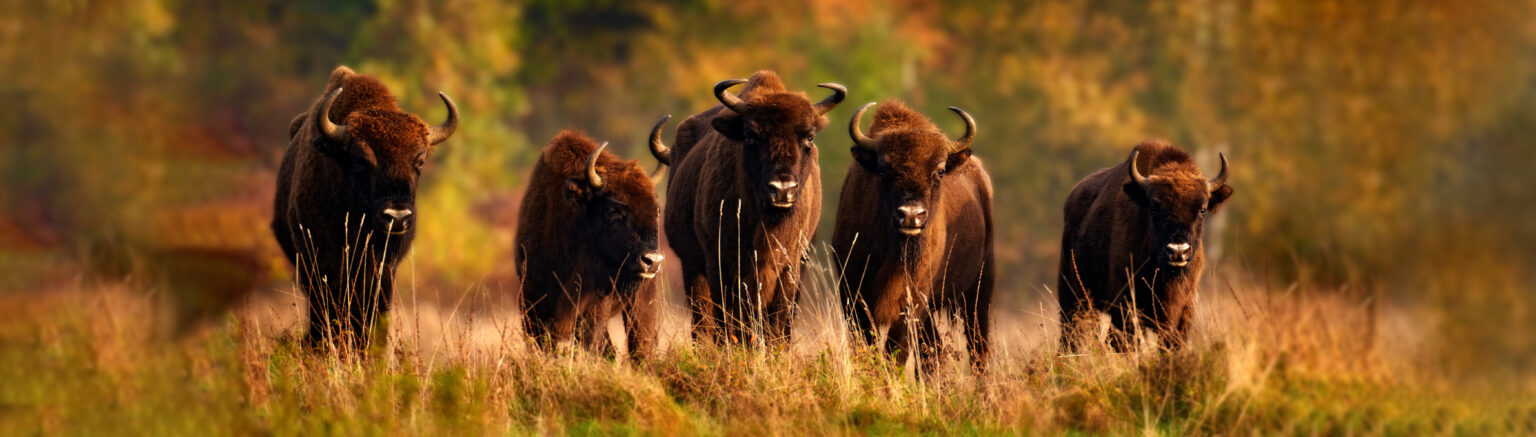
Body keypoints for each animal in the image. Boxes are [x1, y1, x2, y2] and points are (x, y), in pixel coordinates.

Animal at [649, 71, 846, 345]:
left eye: (809, 137)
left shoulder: (790, 267)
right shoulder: (719, 263)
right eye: (751, 136)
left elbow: (777, 322)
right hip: (692, 266)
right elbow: (726, 319)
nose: (782, 189)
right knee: (703, 320)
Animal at [832, 101, 995, 373]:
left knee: (977, 348)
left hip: (979, 290)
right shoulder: (852, 294)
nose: (911, 215)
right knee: (934, 350)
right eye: (883, 169)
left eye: (940, 171)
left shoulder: (912, 301)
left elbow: (895, 351)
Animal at [1057, 140, 1232, 352]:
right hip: (1073, 296)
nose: (1178, 251)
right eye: (1155, 207)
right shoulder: (1126, 304)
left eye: (1203, 209)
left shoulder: (1184, 309)